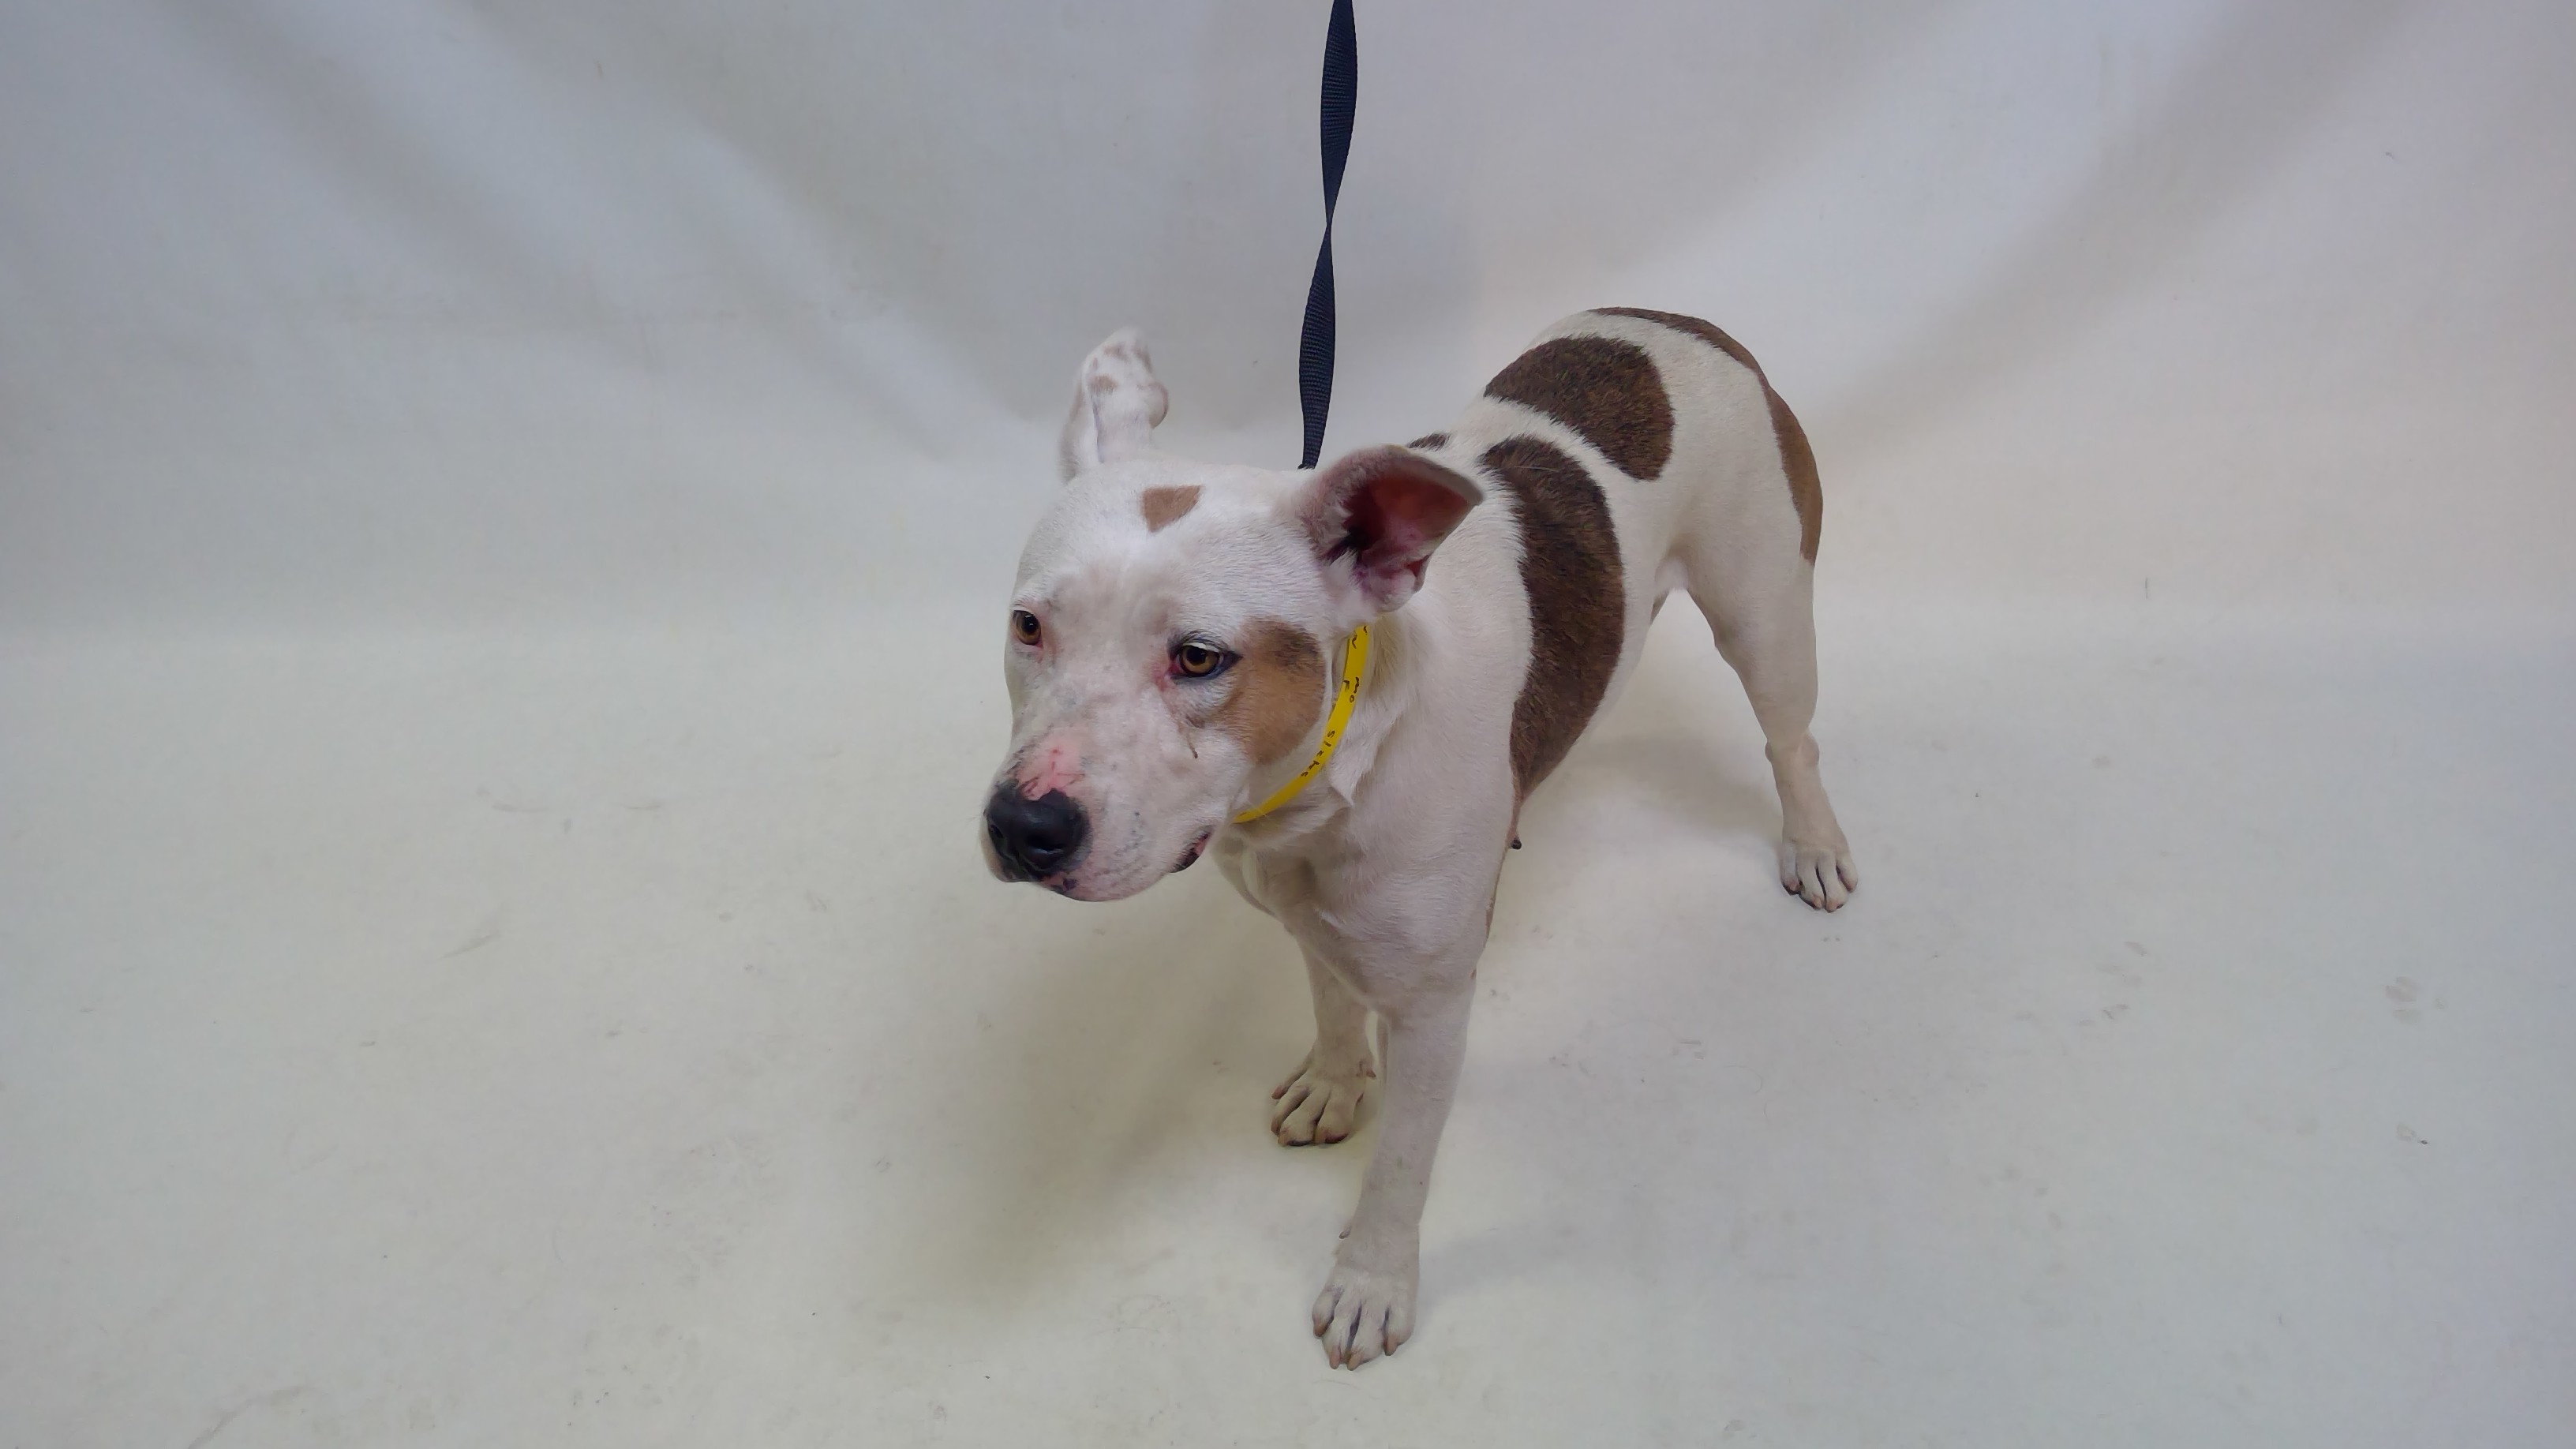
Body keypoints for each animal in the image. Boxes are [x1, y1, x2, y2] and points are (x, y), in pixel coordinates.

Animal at [982, 308, 1857, 1368]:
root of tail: (1693, 323)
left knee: (1791, 737)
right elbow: (1330, 1005)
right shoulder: (1311, 918)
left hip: (1765, 619)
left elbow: (1400, 1163)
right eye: (1029, 627)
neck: (1327, 780)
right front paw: (1334, 1082)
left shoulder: (1435, 1011)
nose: (1023, 825)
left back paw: (1812, 843)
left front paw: (1372, 1282)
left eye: (1199, 658)